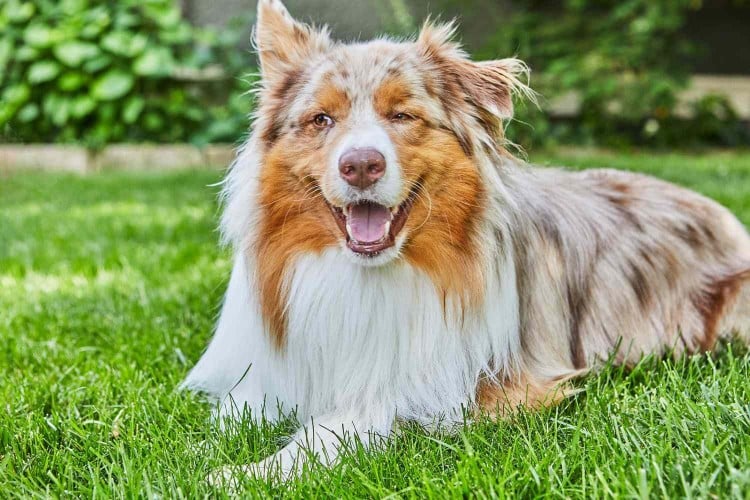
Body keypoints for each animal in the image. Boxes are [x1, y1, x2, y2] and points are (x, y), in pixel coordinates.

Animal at [185, 0, 750, 484]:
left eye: (403, 116)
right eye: (321, 119)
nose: (361, 165)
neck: (367, 275)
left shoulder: (476, 389)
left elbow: (349, 421)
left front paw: (243, 473)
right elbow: (235, 408)